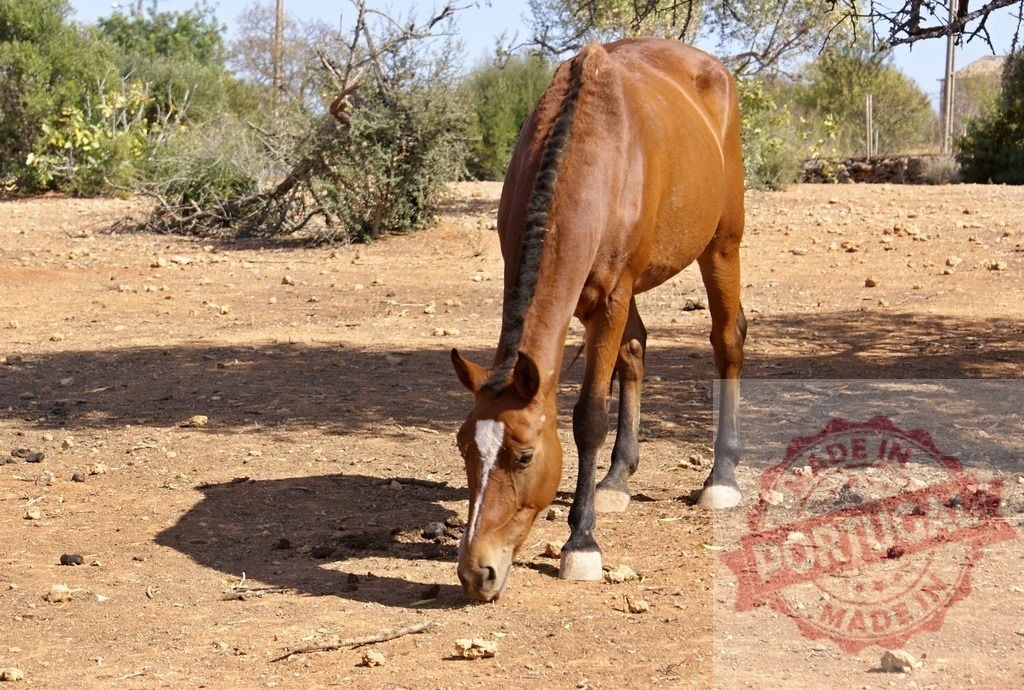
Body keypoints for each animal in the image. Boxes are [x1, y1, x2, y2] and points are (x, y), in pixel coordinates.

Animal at [451, 37, 746, 602]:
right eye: (463, 449)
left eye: (523, 456)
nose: (477, 573)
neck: (594, 154)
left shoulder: (610, 298)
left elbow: (589, 416)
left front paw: (581, 542)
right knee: (636, 348)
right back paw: (616, 479)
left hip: (722, 245)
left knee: (728, 340)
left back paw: (722, 476)